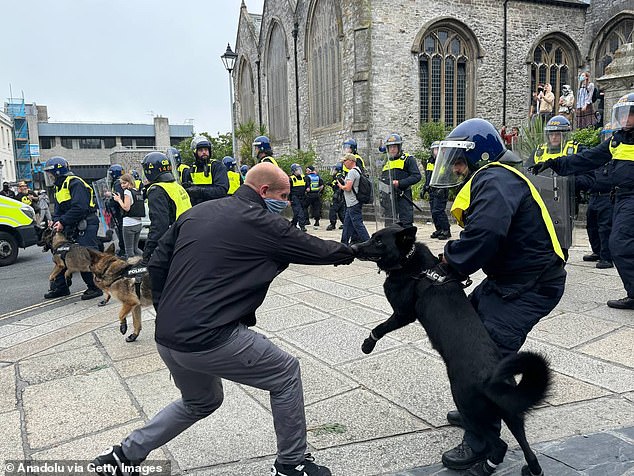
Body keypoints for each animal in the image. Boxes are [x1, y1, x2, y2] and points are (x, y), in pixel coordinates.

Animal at [354, 225, 552, 476]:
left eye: (379, 241)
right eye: (372, 237)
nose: (353, 247)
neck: (412, 264)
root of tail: (495, 380)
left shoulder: (402, 314)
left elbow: (379, 327)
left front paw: (367, 345)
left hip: (468, 404)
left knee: (499, 445)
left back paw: (482, 468)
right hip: (511, 413)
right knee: (527, 449)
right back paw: (532, 469)